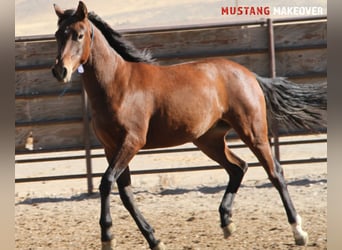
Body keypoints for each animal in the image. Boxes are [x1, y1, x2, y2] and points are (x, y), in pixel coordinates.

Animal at [52, 2, 328, 250]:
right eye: (57, 35)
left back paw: (298, 232)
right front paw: (154, 240)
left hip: (253, 132)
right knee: (238, 167)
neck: (117, 84)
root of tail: (249, 75)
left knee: (275, 172)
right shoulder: (111, 147)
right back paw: (226, 222)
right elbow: (126, 193)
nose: (60, 71)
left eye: (78, 35)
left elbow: (107, 182)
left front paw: (108, 237)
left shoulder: (132, 142)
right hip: (209, 140)